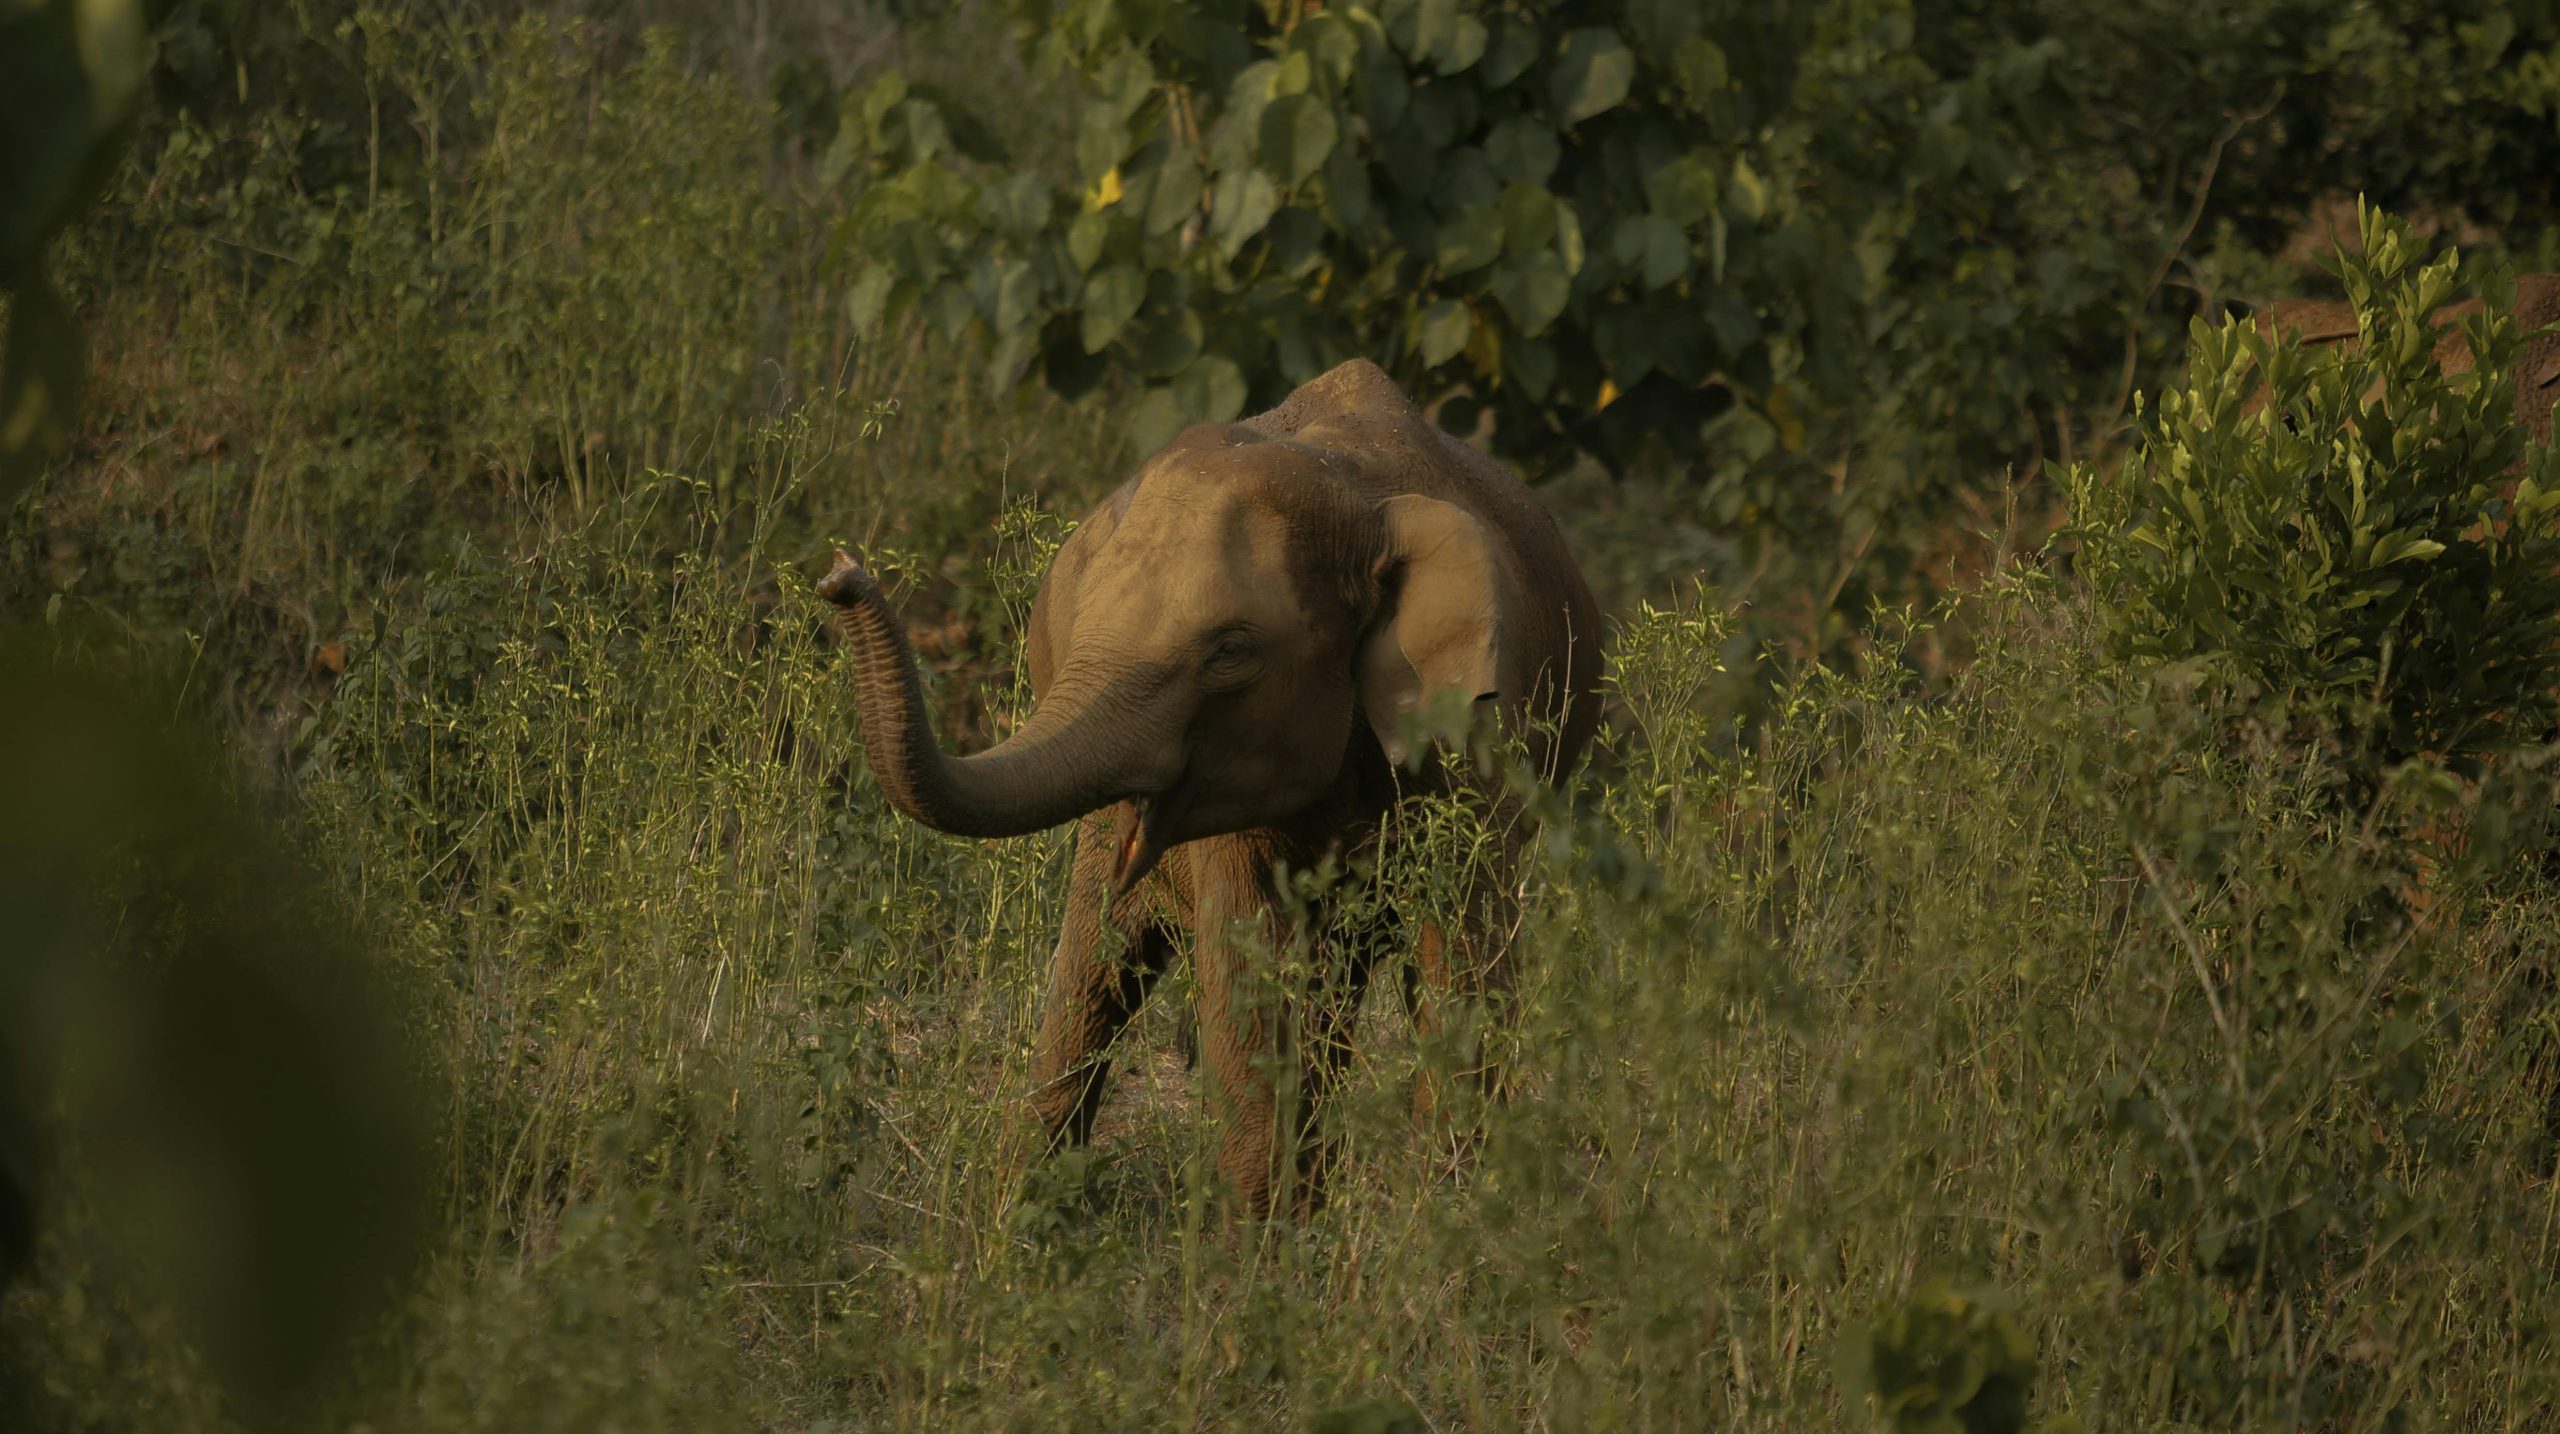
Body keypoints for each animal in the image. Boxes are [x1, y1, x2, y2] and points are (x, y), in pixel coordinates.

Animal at [824, 358, 1597, 1218]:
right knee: (1097, 968)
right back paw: (1018, 1223)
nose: (840, 573)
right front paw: (1263, 1245)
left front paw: (1449, 1221)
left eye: (1229, 653)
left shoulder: (1474, 743)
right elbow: (1250, 970)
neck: (1355, 498)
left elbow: (1461, 959)